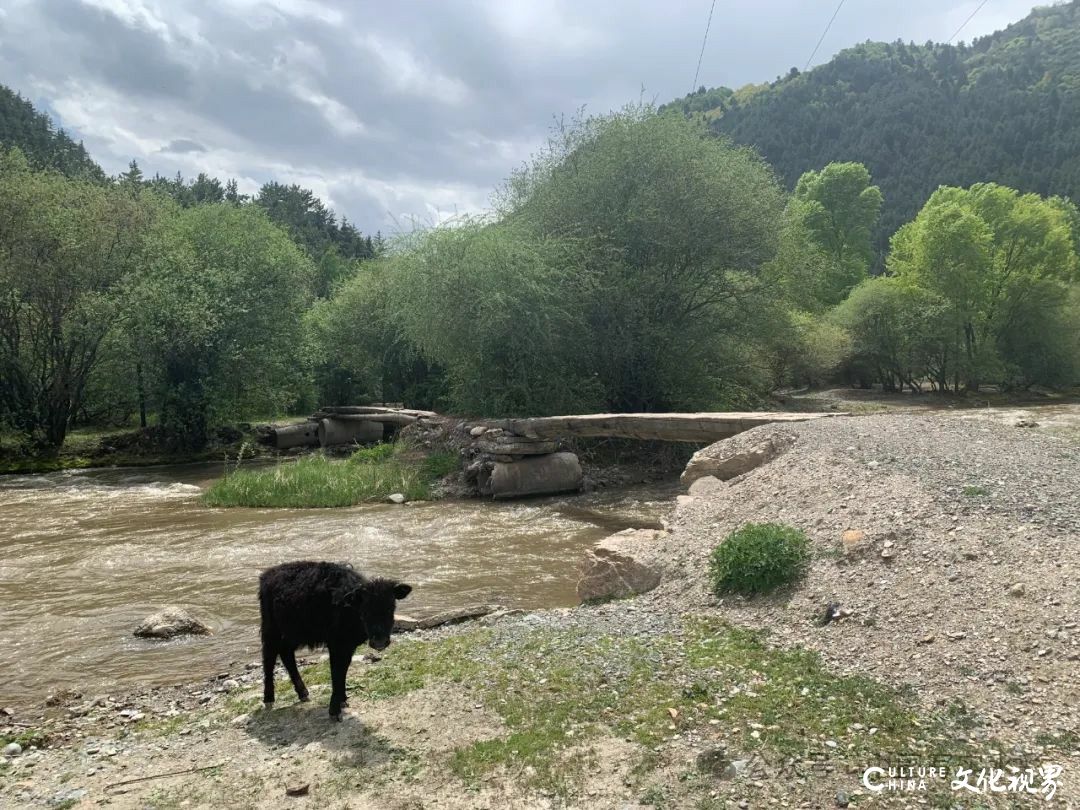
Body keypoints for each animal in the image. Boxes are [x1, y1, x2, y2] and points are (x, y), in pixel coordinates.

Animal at [259, 561, 410, 721]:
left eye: (391, 607)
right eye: (365, 610)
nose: (380, 642)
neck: (348, 609)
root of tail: (268, 574)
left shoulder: (348, 645)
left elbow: (344, 669)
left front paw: (342, 699)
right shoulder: (336, 644)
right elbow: (336, 671)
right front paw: (334, 710)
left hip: (293, 632)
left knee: (286, 653)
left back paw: (303, 693)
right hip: (271, 629)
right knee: (269, 658)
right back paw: (269, 699)